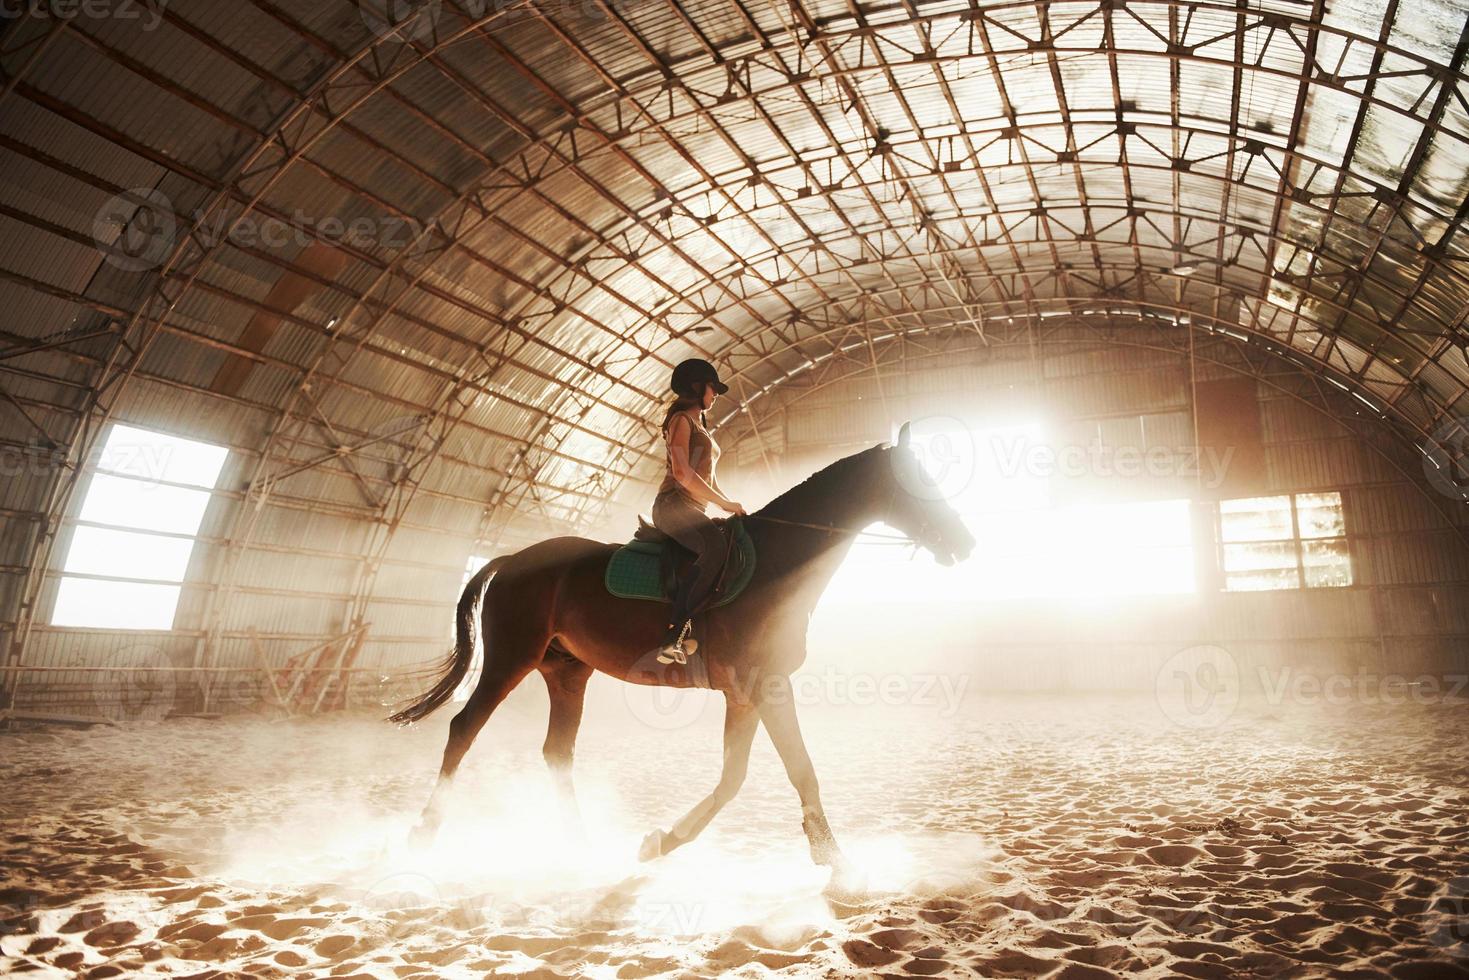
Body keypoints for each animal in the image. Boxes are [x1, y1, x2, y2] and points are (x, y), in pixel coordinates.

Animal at [393, 423, 975, 875]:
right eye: (920, 480)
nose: (966, 543)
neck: (778, 563)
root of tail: (512, 557)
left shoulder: (746, 694)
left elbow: (734, 778)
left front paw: (659, 843)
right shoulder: (766, 686)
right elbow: (799, 767)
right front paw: (834, 858)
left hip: (567, 673)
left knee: (557, 753)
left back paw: (579, 846)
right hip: (510, 660)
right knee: (463, 730)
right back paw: (423, 834)